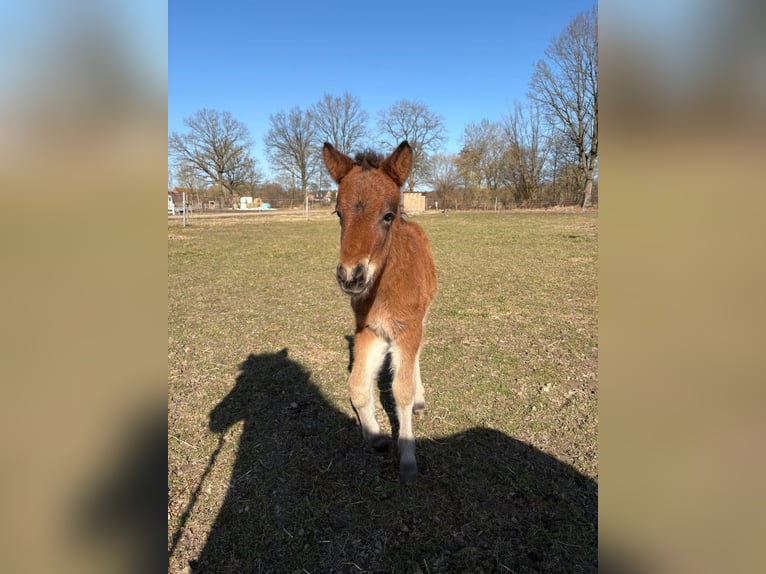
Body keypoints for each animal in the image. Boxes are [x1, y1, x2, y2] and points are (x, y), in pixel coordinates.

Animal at [322, 140, 438, 483]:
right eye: (338, 213)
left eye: (388, 215)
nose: (351, 277)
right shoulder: (369, 331)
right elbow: (358, 387)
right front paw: (375, 437)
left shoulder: (408, 328)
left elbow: (402, 391)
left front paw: (408, 460)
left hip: (421, 318)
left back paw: (421, 400)